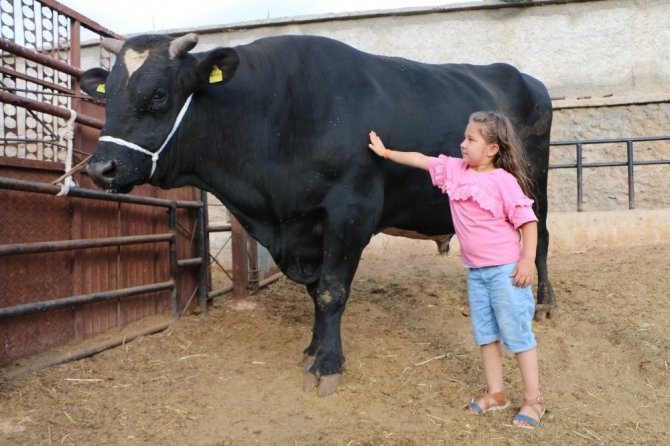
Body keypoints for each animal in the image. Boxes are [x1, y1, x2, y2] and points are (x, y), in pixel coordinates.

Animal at [81, 34, 560, 398]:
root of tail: (523, 76)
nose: (101, 168)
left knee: (540, 239)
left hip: (533, 184)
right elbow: (315, 293)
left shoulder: (351, 210)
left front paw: (328, 365)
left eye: (159, 94)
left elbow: (331, 291)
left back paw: (546, 303)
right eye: (108, 96)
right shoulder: (303, 227)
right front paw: (313, 348)